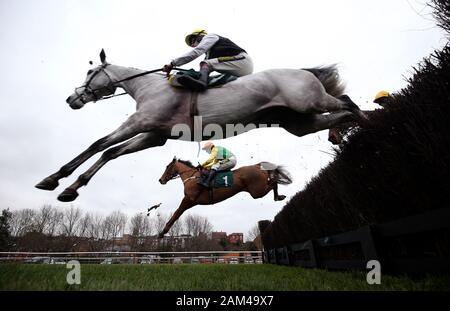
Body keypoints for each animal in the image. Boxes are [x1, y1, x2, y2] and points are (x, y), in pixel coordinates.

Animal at [34, 49, 366, 202]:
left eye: (90, 72)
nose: (71, 99)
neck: (147, 87)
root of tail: (305, 71)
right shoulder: (153, 135)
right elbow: (110, 153)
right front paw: (72, 189)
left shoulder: (139, 123)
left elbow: (98, 145)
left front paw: (54, 179)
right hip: (299, 122)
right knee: (341, 114)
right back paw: (348, 135)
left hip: (310, 102)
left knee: (348, 102)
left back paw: (367, 127)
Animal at [157, 158, 292, 239]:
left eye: (167, 167)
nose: (160, 180)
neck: (192, 177)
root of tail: (257, 165)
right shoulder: (191, 201)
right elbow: (177, 213)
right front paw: (163, 231)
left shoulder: (189, 199)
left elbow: (176, 214)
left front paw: (162, 232)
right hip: (257, 190)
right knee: (273, 181)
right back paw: (279, 196)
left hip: (257, 191)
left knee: (274, 182)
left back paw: (278, 196)